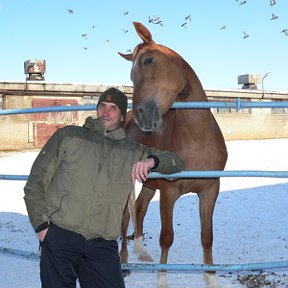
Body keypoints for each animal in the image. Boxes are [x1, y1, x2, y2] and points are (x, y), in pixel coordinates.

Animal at [118, 21, 227, 286]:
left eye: (148, 60)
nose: (143, 116)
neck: (197, 139)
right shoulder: (169, 193)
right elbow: (166, 237)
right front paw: (162, 279)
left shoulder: (210, 190)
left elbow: (207, 236)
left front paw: (210, 278)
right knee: (125, 218)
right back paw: (124, 260)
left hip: (148, 183)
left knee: (139, 210)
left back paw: (141, 252)